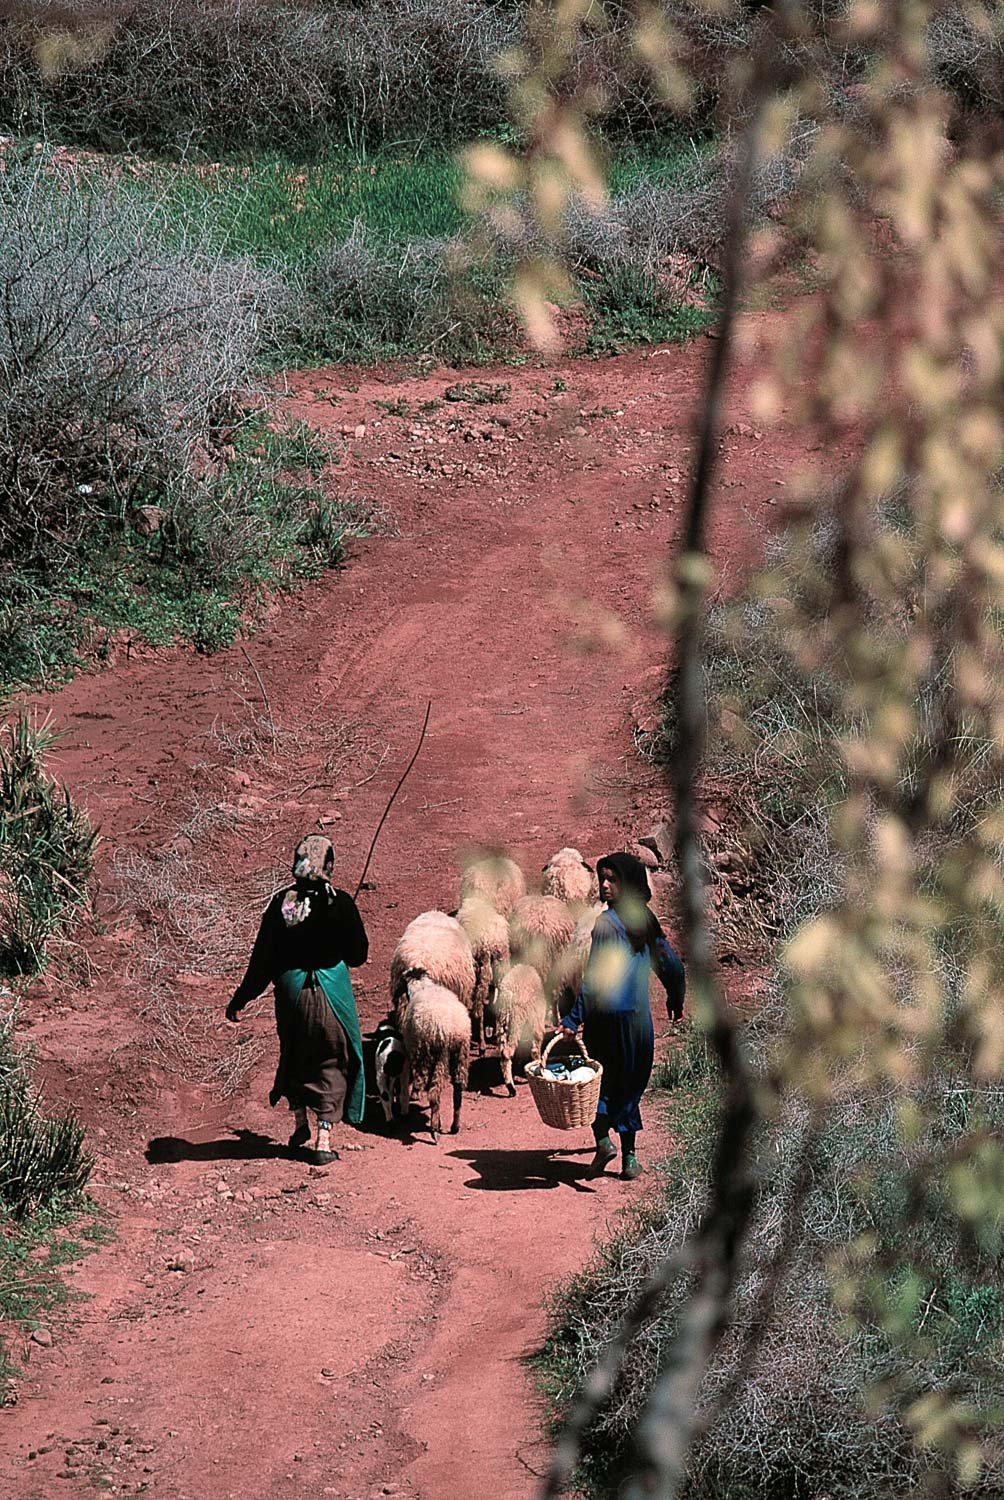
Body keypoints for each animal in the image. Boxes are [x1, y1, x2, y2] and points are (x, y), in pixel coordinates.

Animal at [396, 972, 471, 1134]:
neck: (423, 987)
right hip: (460, 1053)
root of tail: (449, 1029)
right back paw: (454, 1126)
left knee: (434, 1092)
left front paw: (405, 1108)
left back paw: (435, 1126)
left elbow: (405, 1080)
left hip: (432, 1055)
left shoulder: (409, 1050)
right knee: (457, 1091)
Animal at [489, 966, 543, 1098]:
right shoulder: (536, 1023)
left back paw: (510, 1085)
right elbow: (534, 1050)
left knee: (504, 1053)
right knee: (509, 1052)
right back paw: (512, 1087)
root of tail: (507, 996)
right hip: (517, 1023)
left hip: (502, 1023)